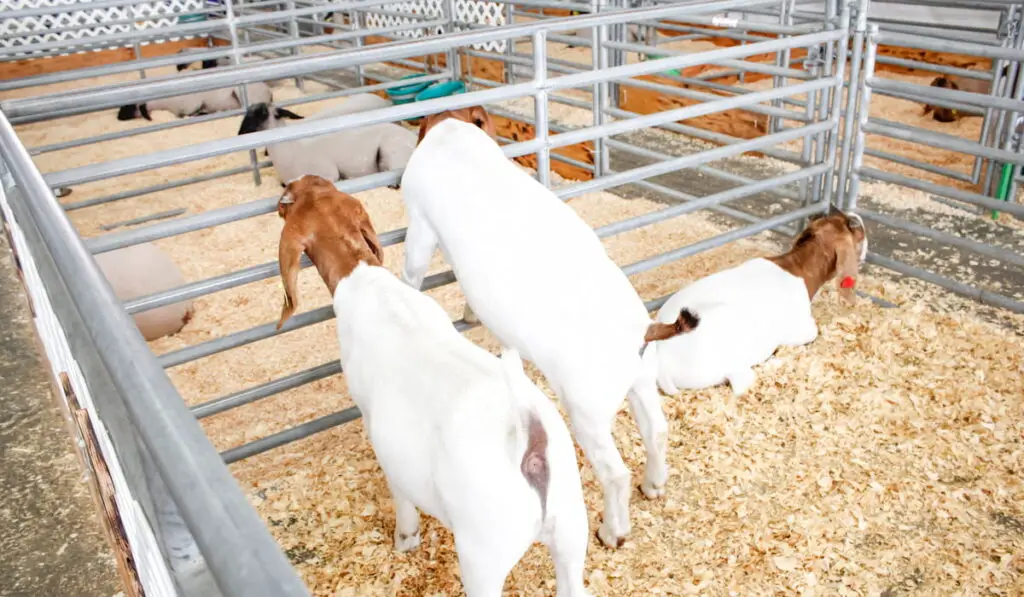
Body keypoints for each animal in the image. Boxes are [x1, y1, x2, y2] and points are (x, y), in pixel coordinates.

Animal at [395, 108, 700, 552]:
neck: (454, 139)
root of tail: (642, 332)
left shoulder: (420, 219)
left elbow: (414, 266)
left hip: (587, 409)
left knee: (615, 472)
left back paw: (612, 533)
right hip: (641, 380)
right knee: (657, 430)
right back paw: (654, 486)